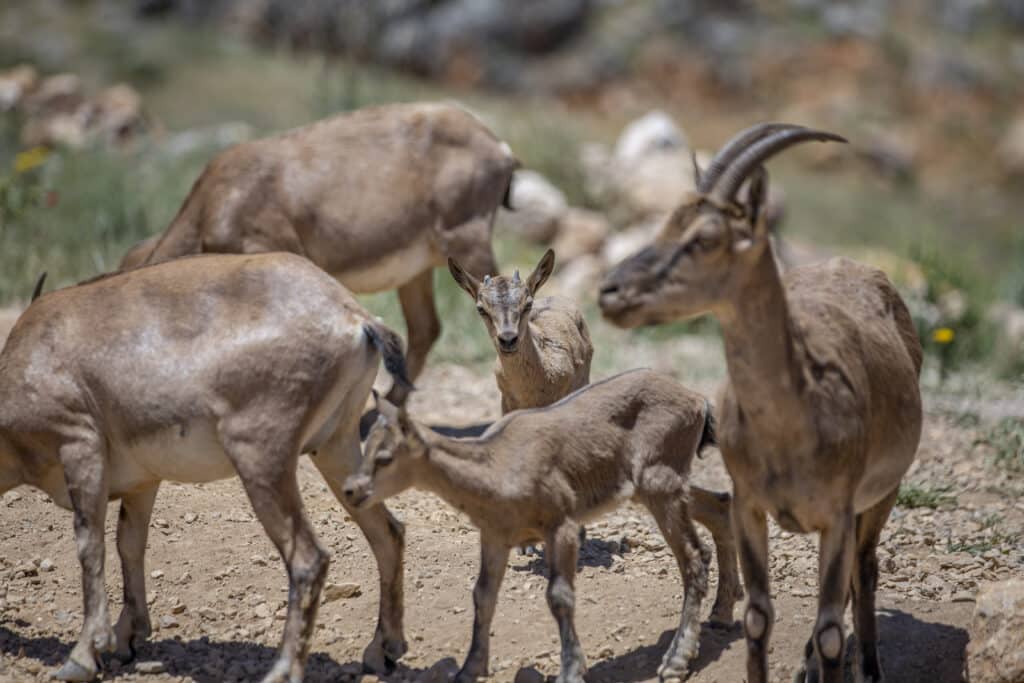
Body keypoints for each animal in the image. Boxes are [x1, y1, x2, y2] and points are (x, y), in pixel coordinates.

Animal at [4, 253, 413, 679]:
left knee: (309, 558)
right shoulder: (142, 483)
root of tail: (354, 317)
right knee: (388, 533)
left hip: (261, 458)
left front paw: (82, 657)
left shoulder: (79, 444)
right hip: (336, 447)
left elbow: (90, 545)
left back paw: (282, 670)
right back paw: (383, 650)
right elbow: (129, 544)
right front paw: (128, 638)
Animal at [339, 368, 741, 683]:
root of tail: (698, 401)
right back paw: (722, 614)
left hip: (660, 480)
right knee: (721, 504)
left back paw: (676, 661)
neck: (497, 467)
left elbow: (559, 596)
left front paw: (571, 670)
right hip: (655, 486)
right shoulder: (496, 536)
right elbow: (482, 595)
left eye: (385, 457)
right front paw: (469, 669)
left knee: (693, 557)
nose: (351, 489)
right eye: (366, 444)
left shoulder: (561, 524)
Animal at [598, 122, 929, 683]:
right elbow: (758, 616)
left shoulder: (837, 513)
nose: (611, 292)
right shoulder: (751, 504)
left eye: (706, 238)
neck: (792, 425)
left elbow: (830, 627)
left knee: (862, 573)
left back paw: (867, 667)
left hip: (882, 493)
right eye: (667, 222)